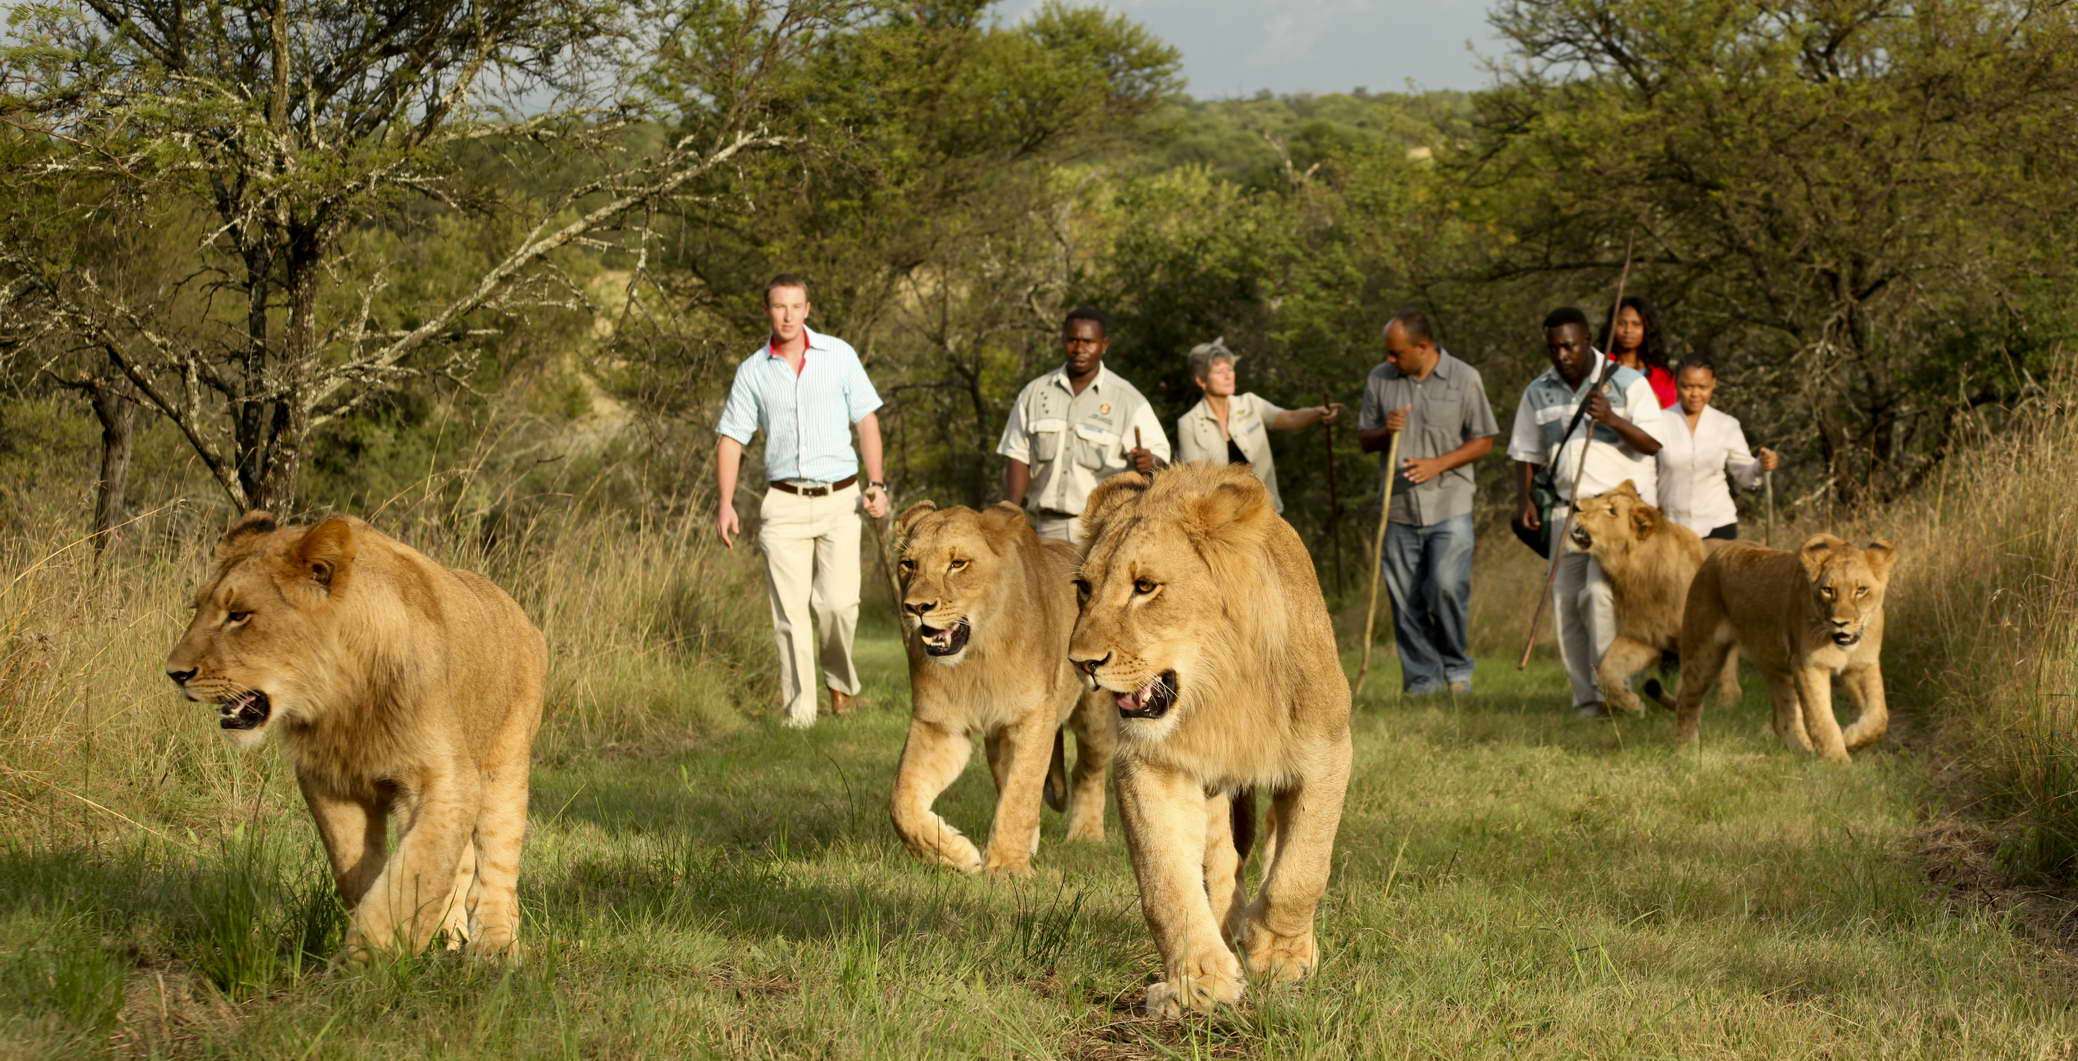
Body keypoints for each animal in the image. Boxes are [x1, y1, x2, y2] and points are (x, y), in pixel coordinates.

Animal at [164, 511, 547, 959]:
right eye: (198, 608)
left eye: (239, 615)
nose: (175, 673)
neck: (343, 700)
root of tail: (521, 613)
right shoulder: (331, 784)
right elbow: (364, 871)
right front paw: (390, 941)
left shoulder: (446, 780)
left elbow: (413, 870)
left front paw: (369, 954)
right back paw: (449, 936)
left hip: (505, 766)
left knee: (496, 863)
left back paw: (496, 946)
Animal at [888, 501, 1115, 876]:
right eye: (908, 564)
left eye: (957, 564)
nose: (916, 607)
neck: (976, 658)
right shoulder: (939, 726)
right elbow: (902, 800)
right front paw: (956, 855)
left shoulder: (1033, 719)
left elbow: (1021, 793)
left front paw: (1008, 867)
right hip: (998, 738)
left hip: (1095, 720)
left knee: (1087, 771)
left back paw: (1086, 835)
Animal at [1067, 464, 1352, 1017]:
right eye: (1083, 588)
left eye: (1145, 586)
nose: (1082, 663)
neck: (1221, 693)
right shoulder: (1152, 765)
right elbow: (1165, 881)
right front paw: (1199, 978)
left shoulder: (1328, 754)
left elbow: (1301, 870)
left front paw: (1279, 954)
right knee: (1221, 865)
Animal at [1566, 480, 1741, 715]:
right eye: (1599, 495)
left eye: (1612, 511)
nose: (1575, 506)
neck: (1638, 574)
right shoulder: (1642, 637)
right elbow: (1607, 671)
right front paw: (1632, 704)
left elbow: (1685, 683)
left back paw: (1727, 702)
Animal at [1666, 534, 1898, 762]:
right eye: (1827, 590)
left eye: (1861, 590)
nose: (1840, 623)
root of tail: (1717, 552)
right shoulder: (1809, 665)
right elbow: (1822, 718)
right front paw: (1838, 761)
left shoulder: (1863, 665)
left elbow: (1879, 717)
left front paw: (1850, 738)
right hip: (1703, 653)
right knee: (1686, 700)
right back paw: (1686, 751)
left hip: (1777, 668)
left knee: (1784, 719)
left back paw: (1804, 752)